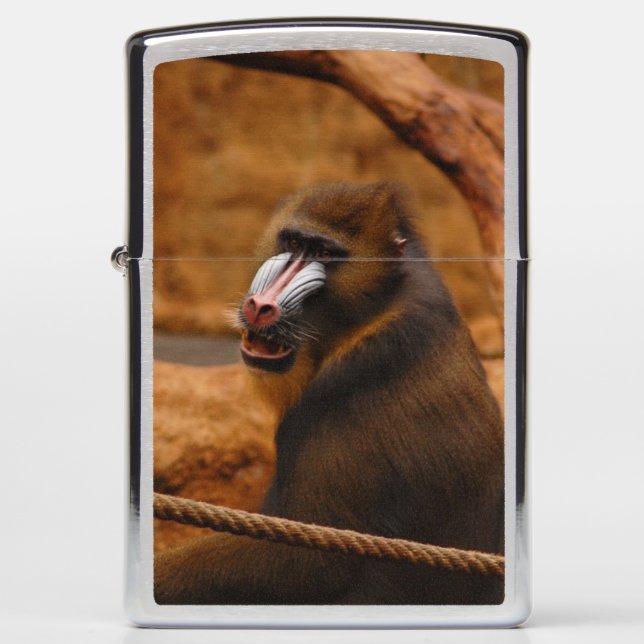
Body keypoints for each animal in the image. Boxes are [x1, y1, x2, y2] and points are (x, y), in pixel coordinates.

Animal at [154, 182, 504, 605]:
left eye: (324, 254)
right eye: (293, 242)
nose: (260, 306)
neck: (369, 310)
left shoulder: (346, 385)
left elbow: (306, 558)